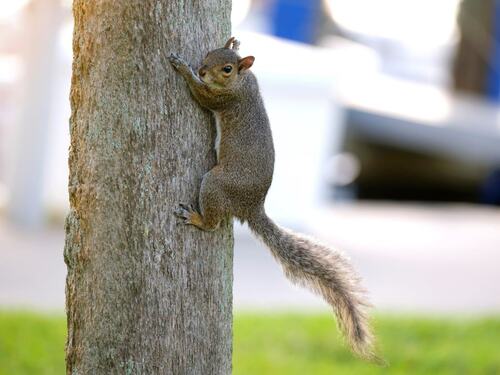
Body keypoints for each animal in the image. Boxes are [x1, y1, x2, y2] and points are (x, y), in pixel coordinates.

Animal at [170, 37, 376, 362]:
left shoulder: (224, 100)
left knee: (213, 224)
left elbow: (202, 96)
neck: (243, 82)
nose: (202, 70)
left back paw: (196, 218)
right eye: (210, 54)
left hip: (215, 183)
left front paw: (184, 70)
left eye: (227, 69)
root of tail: (252, 206)